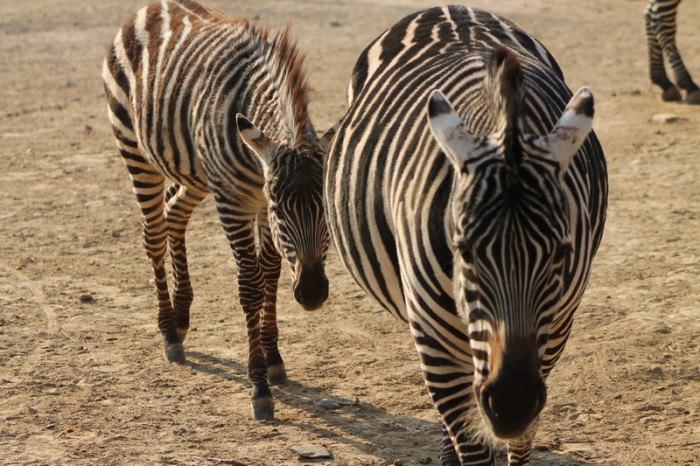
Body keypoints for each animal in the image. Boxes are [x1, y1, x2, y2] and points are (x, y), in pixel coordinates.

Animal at [102, 0, 332, 420]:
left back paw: (181, 317)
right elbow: (251, 286)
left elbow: (271, 272)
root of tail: (154, 5)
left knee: (173, 214)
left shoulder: (255, 201)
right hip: (134, 148)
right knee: (154, 236)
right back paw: (169, 332)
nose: (311, 294)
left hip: (194, 172)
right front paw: (259, 385)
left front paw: (274, 357)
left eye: (326, 208)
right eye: (280, 208)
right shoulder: (236, 202)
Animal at [326, 5, 608, 464]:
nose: (511, 404)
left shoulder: (556, 328)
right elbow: (472, 441)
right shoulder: (433, 337)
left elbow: (520, 441)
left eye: (560, 254)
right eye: (465, 250)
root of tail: (449, 8)